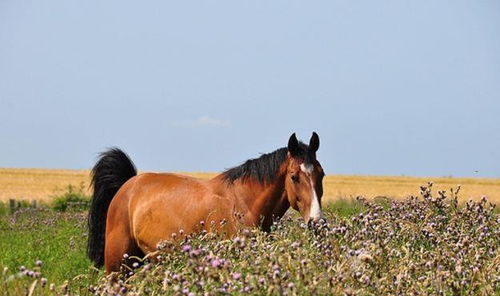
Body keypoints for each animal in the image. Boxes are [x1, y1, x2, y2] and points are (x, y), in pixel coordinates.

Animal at [88, 132, 326, 272]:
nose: (317, 222)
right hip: (118, 268)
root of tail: (128, 185)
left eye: (321, 174)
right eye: (294, 177)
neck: (244, 205)